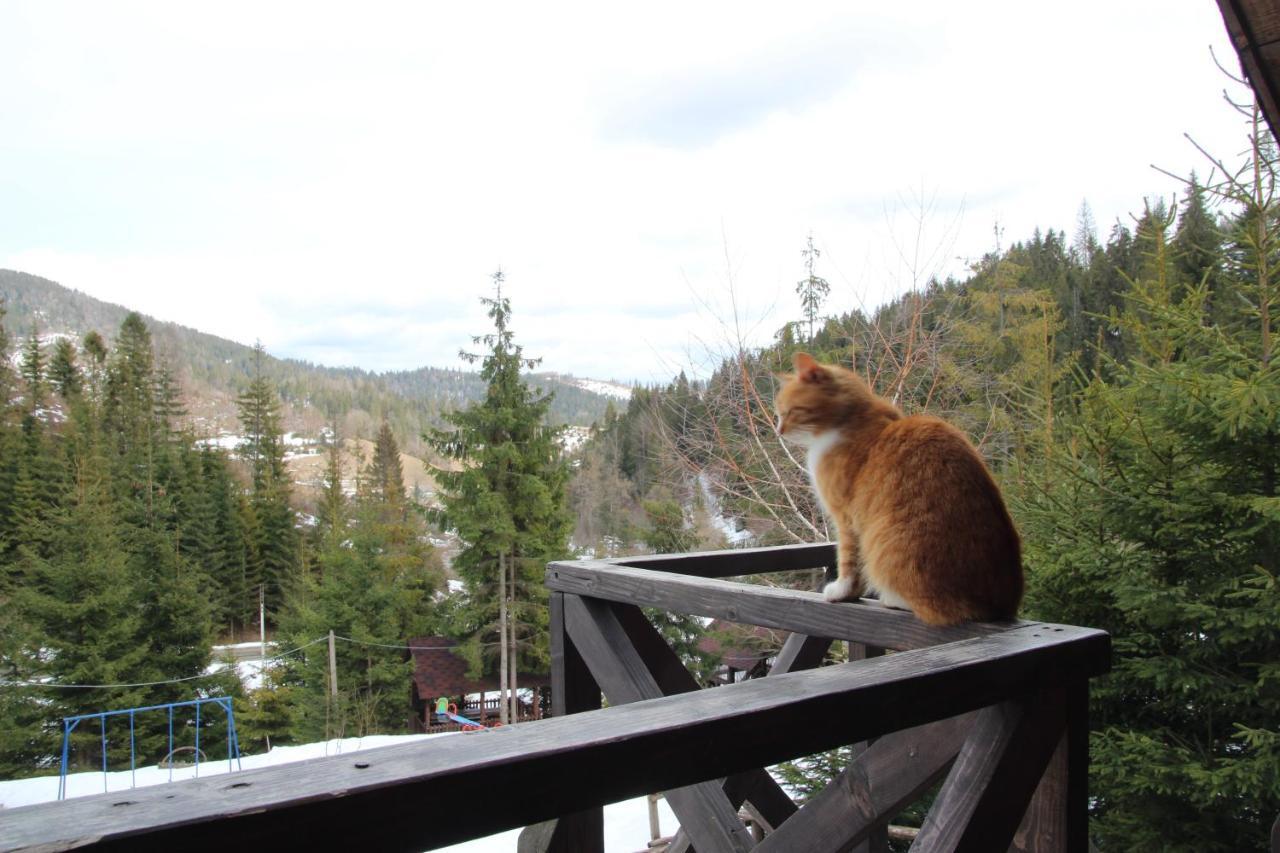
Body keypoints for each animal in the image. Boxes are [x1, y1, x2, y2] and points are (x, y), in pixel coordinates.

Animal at [773, 348, 1024, 622]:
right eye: (779, 414)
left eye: (789, 411)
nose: (778, 430)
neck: (851, 419)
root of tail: (998, 608)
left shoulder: (846, 517)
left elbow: (848, 560)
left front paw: (842, 592)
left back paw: (894, 599)